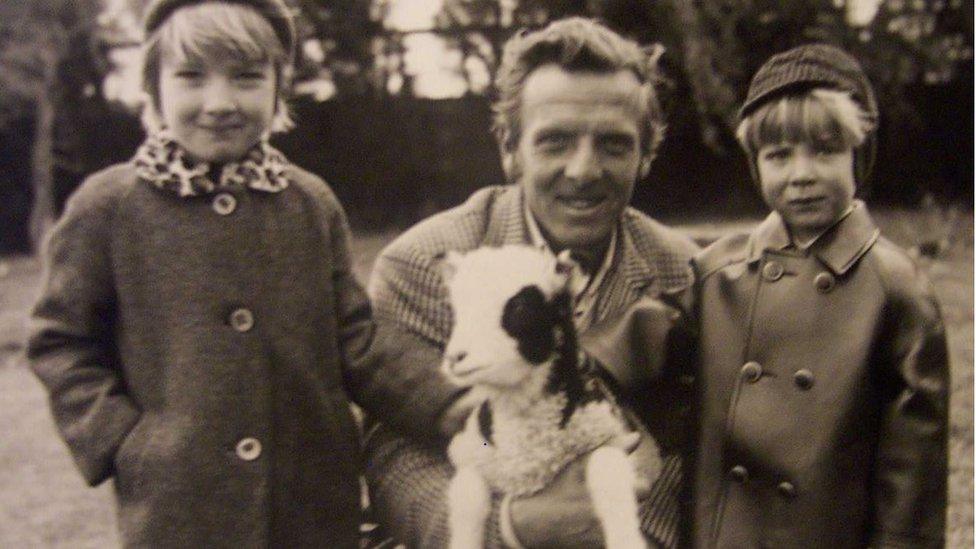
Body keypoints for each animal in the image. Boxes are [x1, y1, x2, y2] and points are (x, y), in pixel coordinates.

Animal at [442, 245, 664, 548]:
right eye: (456, 309)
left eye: (521, 308)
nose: (455, 357)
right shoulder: (474, 456)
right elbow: (467, 498)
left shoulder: (623, 441)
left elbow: (607, 470)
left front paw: (626, 539)